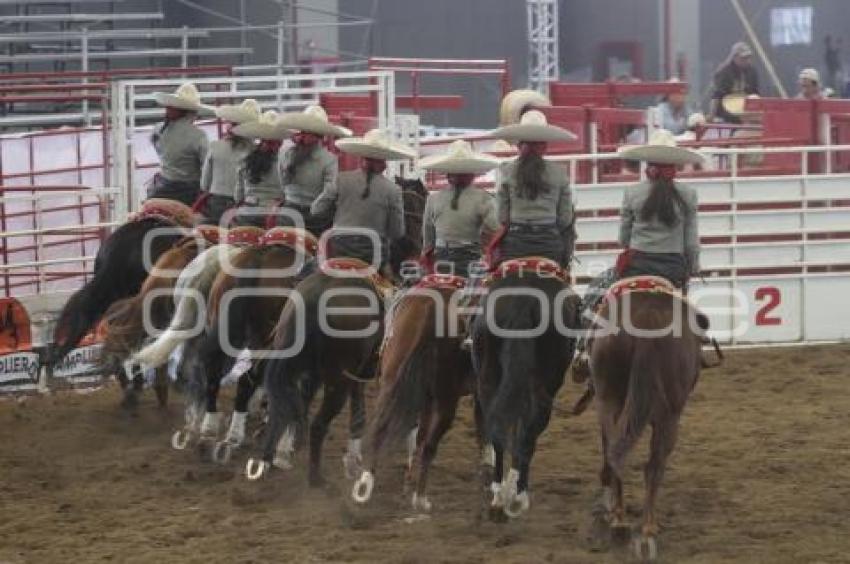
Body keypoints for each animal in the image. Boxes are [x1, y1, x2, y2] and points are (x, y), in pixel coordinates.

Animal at [348, 276, 474, 512]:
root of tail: (430, 307)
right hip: (446, 399)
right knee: (430, 445)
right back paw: (421, 498)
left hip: (392, 381)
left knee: (381, 427)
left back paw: (365, 485)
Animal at [588, 282, 704, 560]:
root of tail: (647, 321)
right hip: (670, 416)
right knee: (654, 465)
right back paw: (649, 525)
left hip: (608, 398)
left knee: (614, 453)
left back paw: (618, 520)